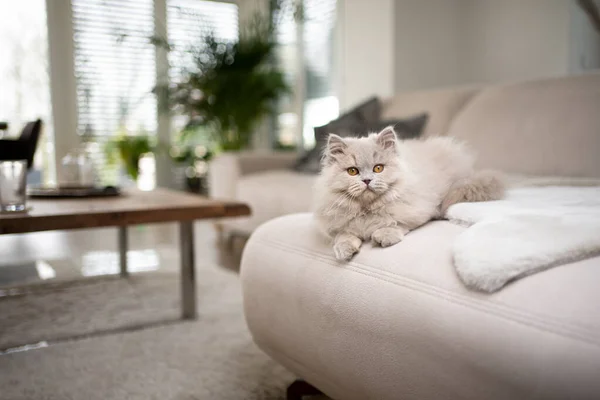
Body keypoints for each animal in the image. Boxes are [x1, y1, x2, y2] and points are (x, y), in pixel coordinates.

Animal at [312, 126, 504, 260]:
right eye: (352, 171)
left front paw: (383, 236)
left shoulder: (415, 211)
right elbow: (344, 236)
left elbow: (396, 223)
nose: (367, 180)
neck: (367, 211)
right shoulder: (338, 225)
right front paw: (344, 250)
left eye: (378, 168)